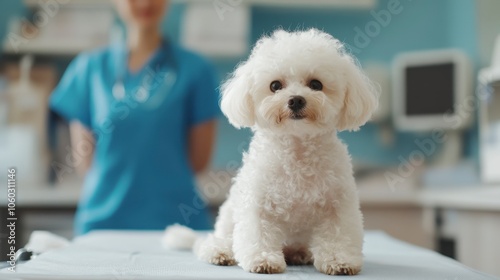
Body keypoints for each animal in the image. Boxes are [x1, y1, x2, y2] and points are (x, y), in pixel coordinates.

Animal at [164, 29, 378, 276]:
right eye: (275, 85)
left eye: (316, 84)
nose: (296, 100)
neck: (297, 152)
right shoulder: (258, 204)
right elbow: (259, 234)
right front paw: (263, 259)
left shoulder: (338, 206)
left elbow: (338, 236)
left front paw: (339, 260)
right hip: (227, 221)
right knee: (211, 242)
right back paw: (220, 252)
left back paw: (299, 253)